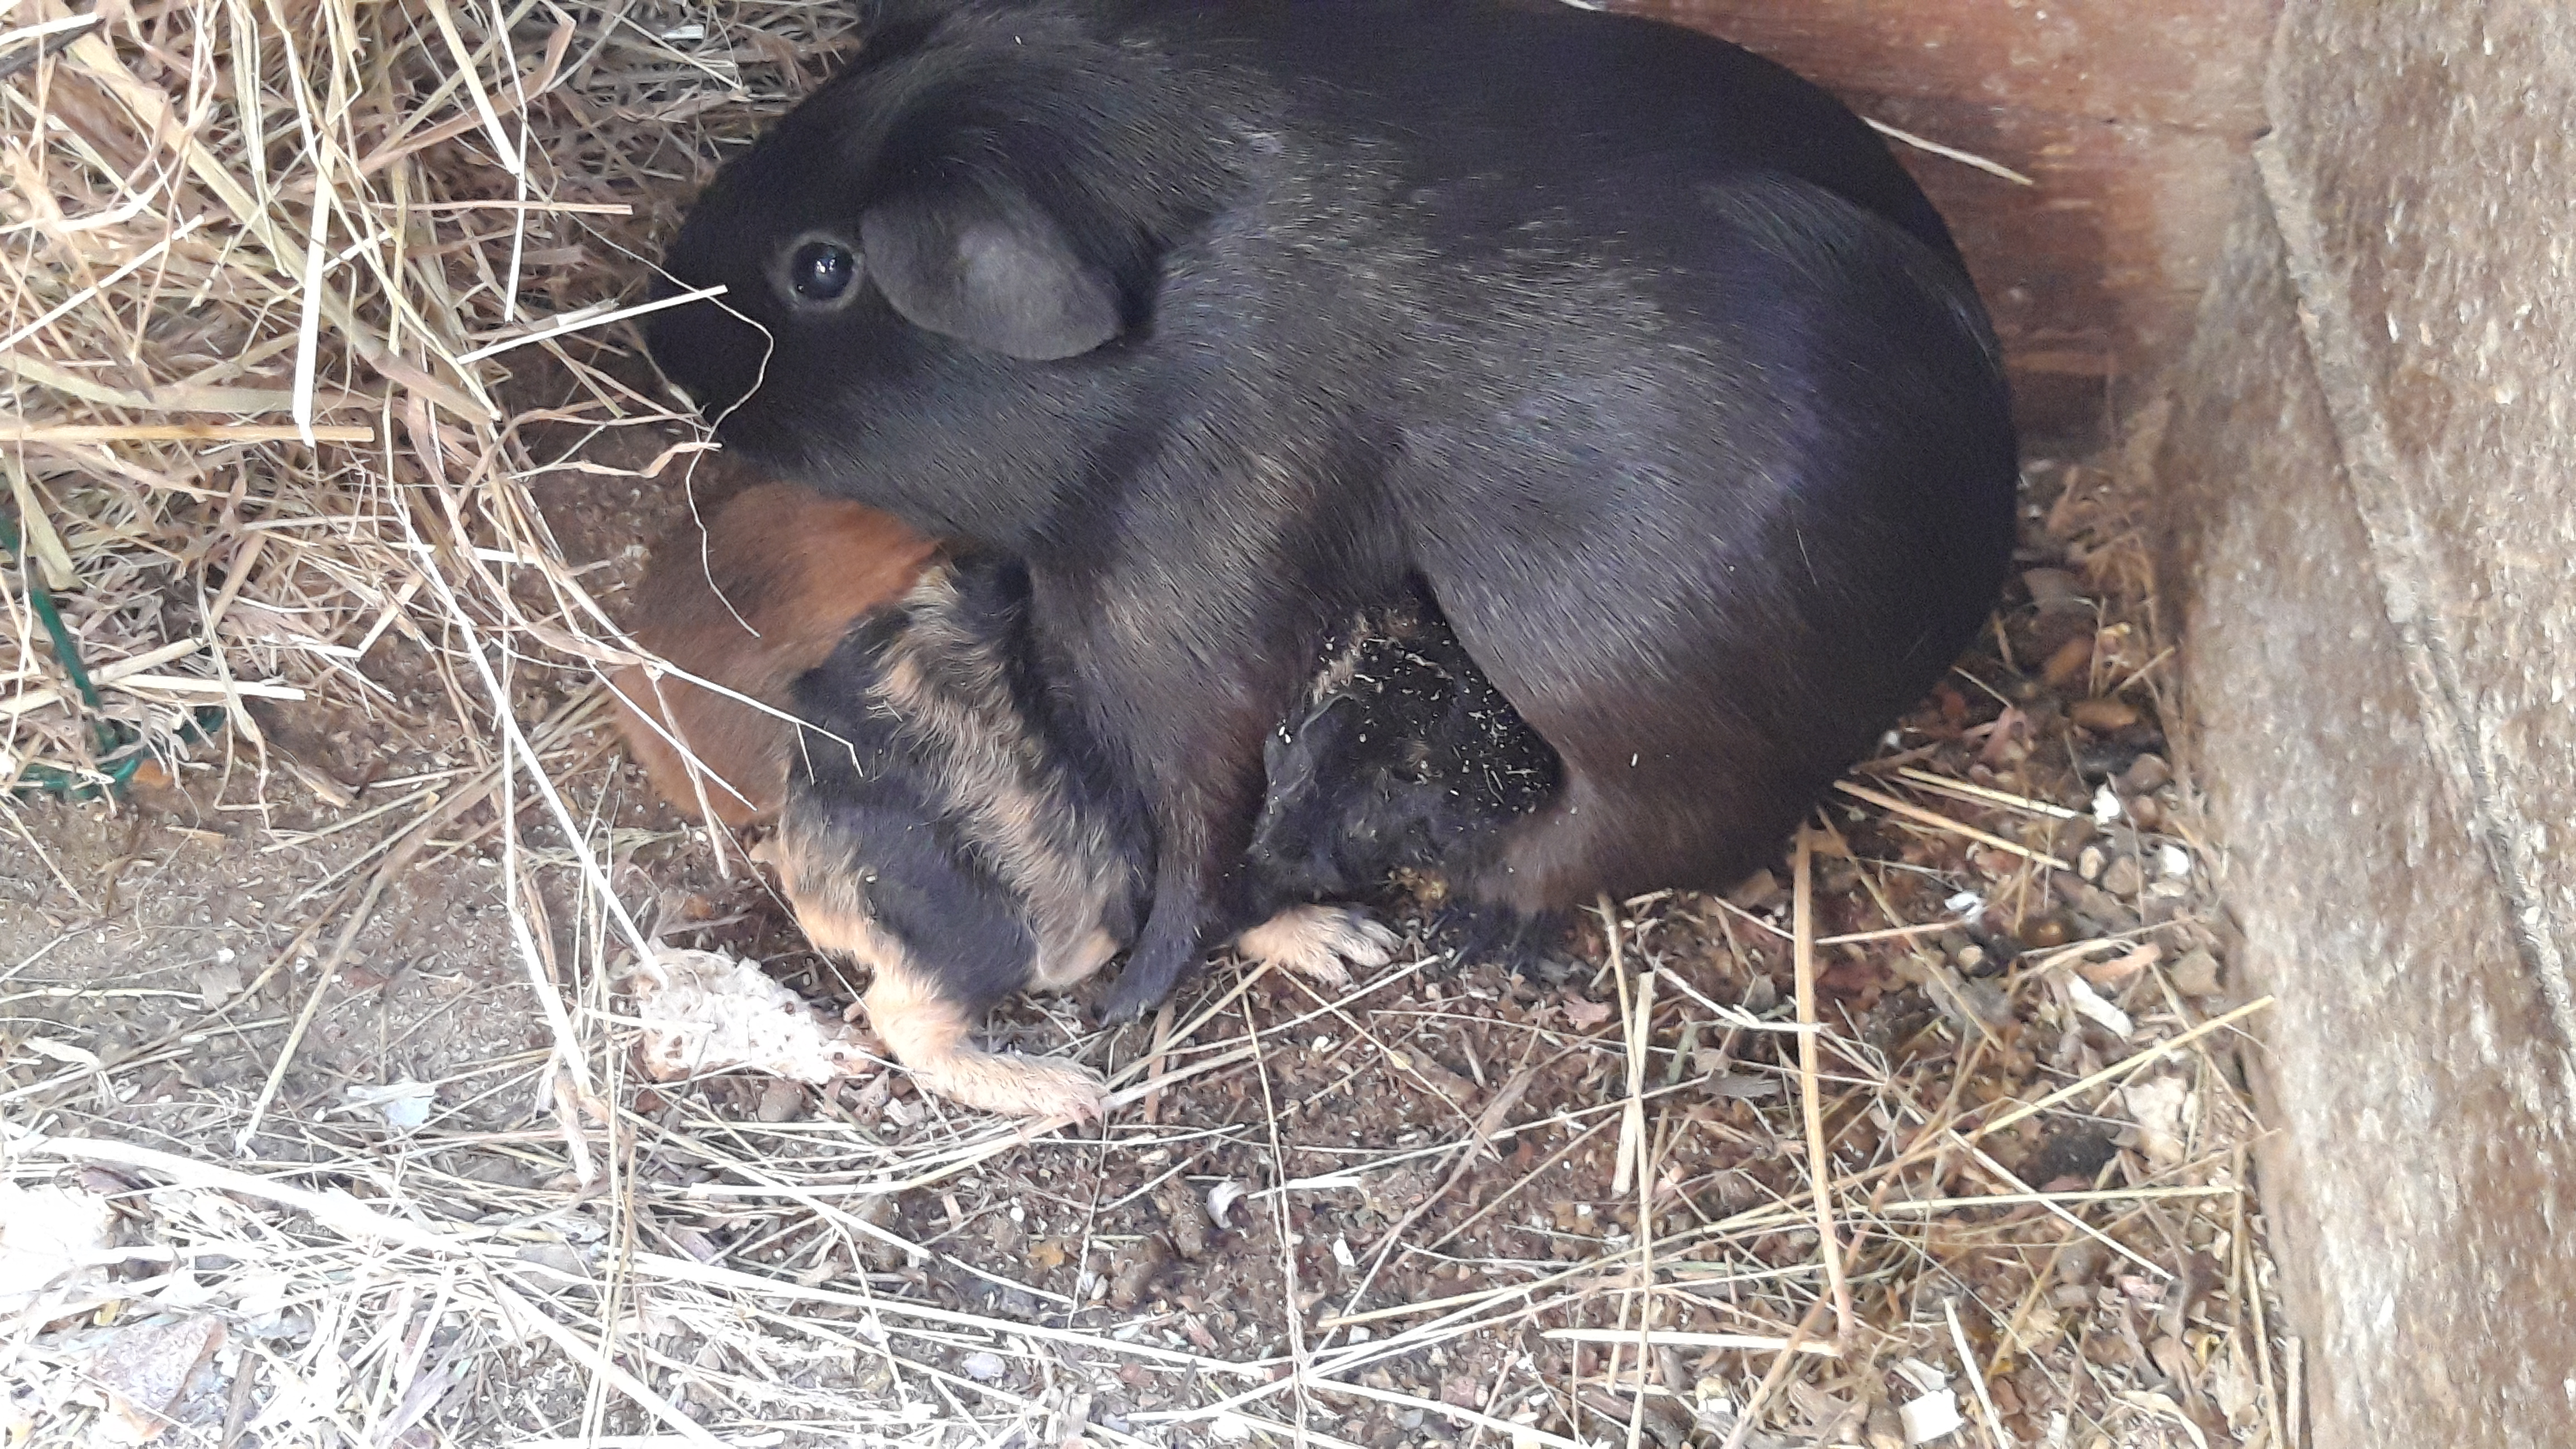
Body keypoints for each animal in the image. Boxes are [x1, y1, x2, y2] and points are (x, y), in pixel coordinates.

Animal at [645, 0, 2019, 1025]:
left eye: (824, 269)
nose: (661, 327)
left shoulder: (1175, 616)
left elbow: (1192, 826)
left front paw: (1130, 1001)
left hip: (1635, 731)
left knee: (1620, 839)